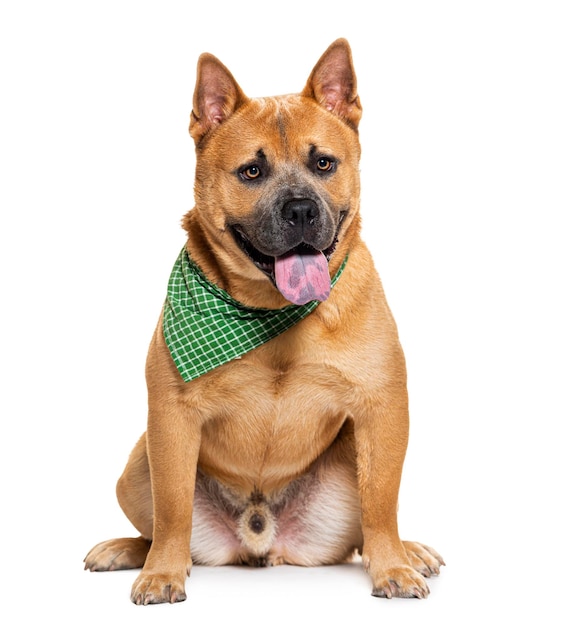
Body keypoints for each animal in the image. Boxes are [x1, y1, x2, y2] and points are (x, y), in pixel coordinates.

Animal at [84, 37, 444, 600]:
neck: (274, 313)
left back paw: (410, 551)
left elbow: (383, 503)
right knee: (162, 525)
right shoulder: (170, 419)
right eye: (251, 172)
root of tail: (259, 537)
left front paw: (393, 566)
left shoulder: (381, 409)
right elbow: (172, 510)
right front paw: (162, 572)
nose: (300, 210)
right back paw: (128, 551)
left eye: (324, 163)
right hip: (137, 464)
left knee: (365, 525)